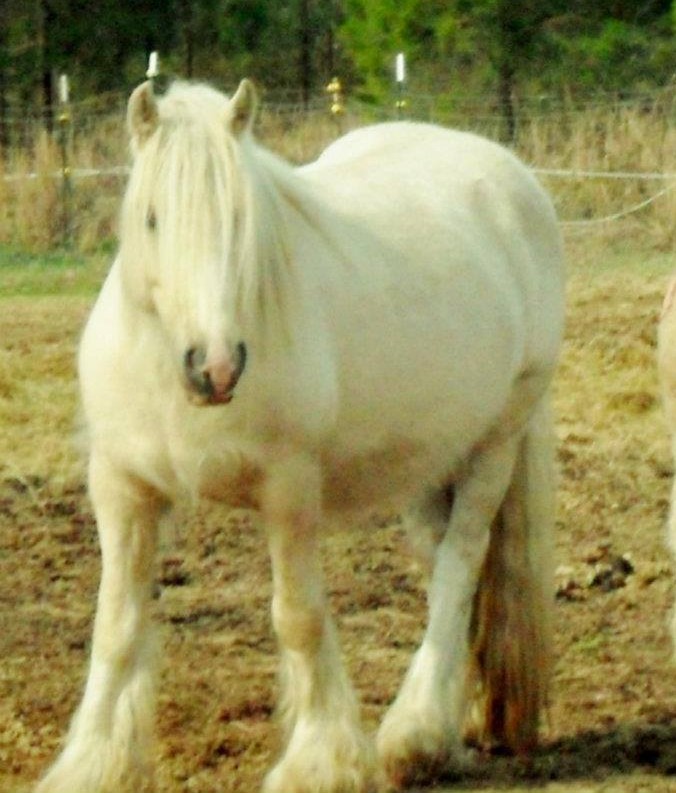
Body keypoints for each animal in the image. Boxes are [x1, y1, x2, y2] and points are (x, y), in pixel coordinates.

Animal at [36, 78, 565, 793]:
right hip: (430, 462)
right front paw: (93, 763)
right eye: (151, 219)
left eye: (241, 220)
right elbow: (116, 626)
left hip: (494, 445)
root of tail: (511, 176)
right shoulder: (123, 489)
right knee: (444, 571)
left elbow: (298, 616)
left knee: (460, 565)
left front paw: (322, 761)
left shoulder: (288, 490)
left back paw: (416, 736)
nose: (215, 367)